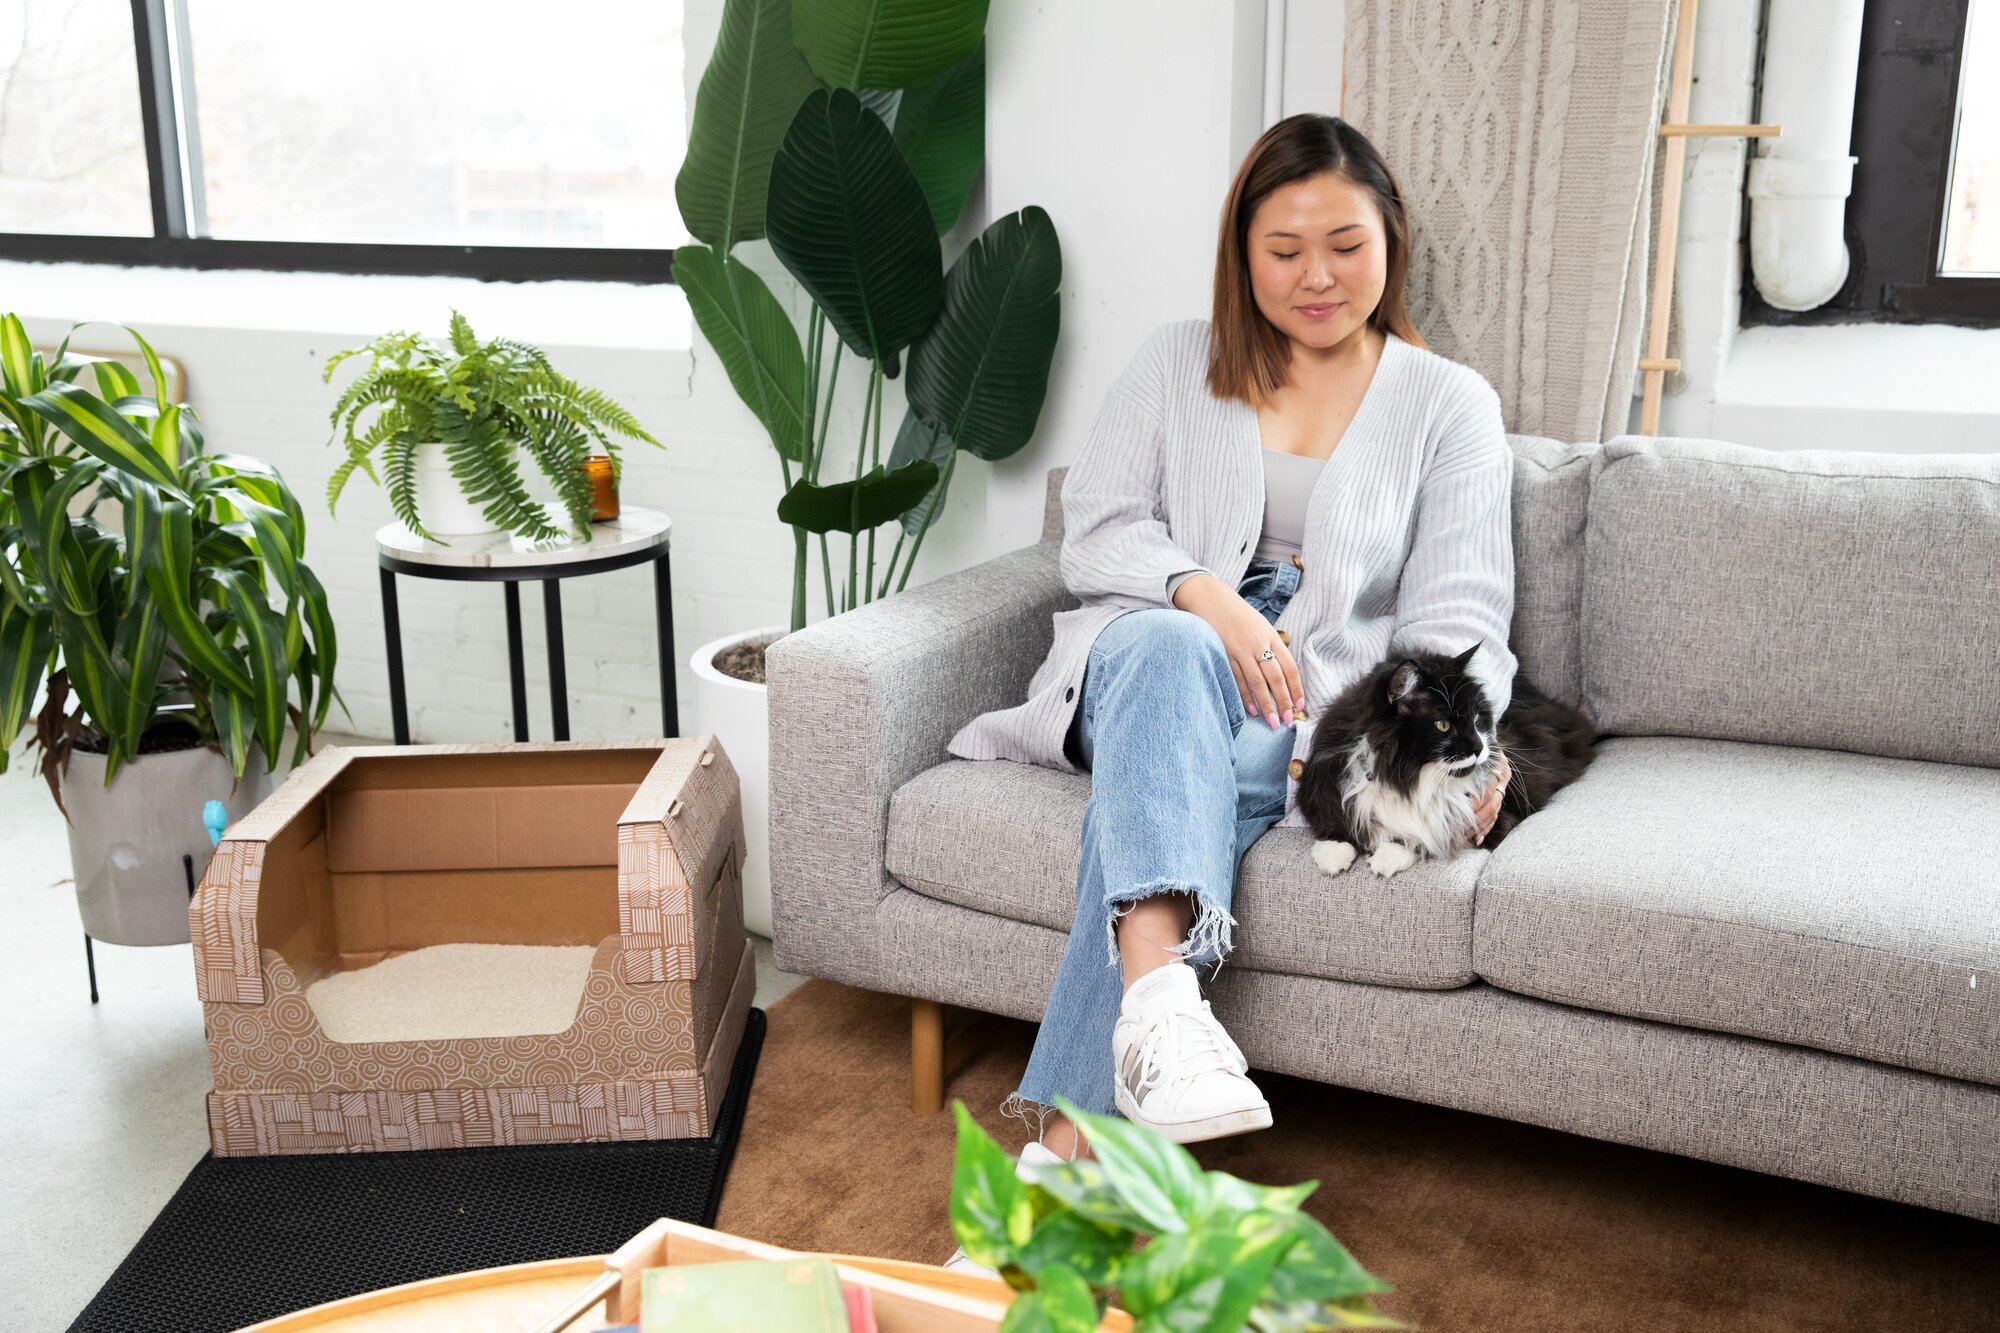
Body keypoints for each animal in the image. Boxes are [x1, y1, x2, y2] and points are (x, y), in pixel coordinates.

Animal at [1296, 640, 1592, 876]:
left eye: (1476, 720)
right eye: (1443, 725)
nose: (1479, 747)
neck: (1401, 779)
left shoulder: (1493, 821)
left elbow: (1422, 834)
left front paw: (1386, 857)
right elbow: (1337, 822)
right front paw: (1332, 854)